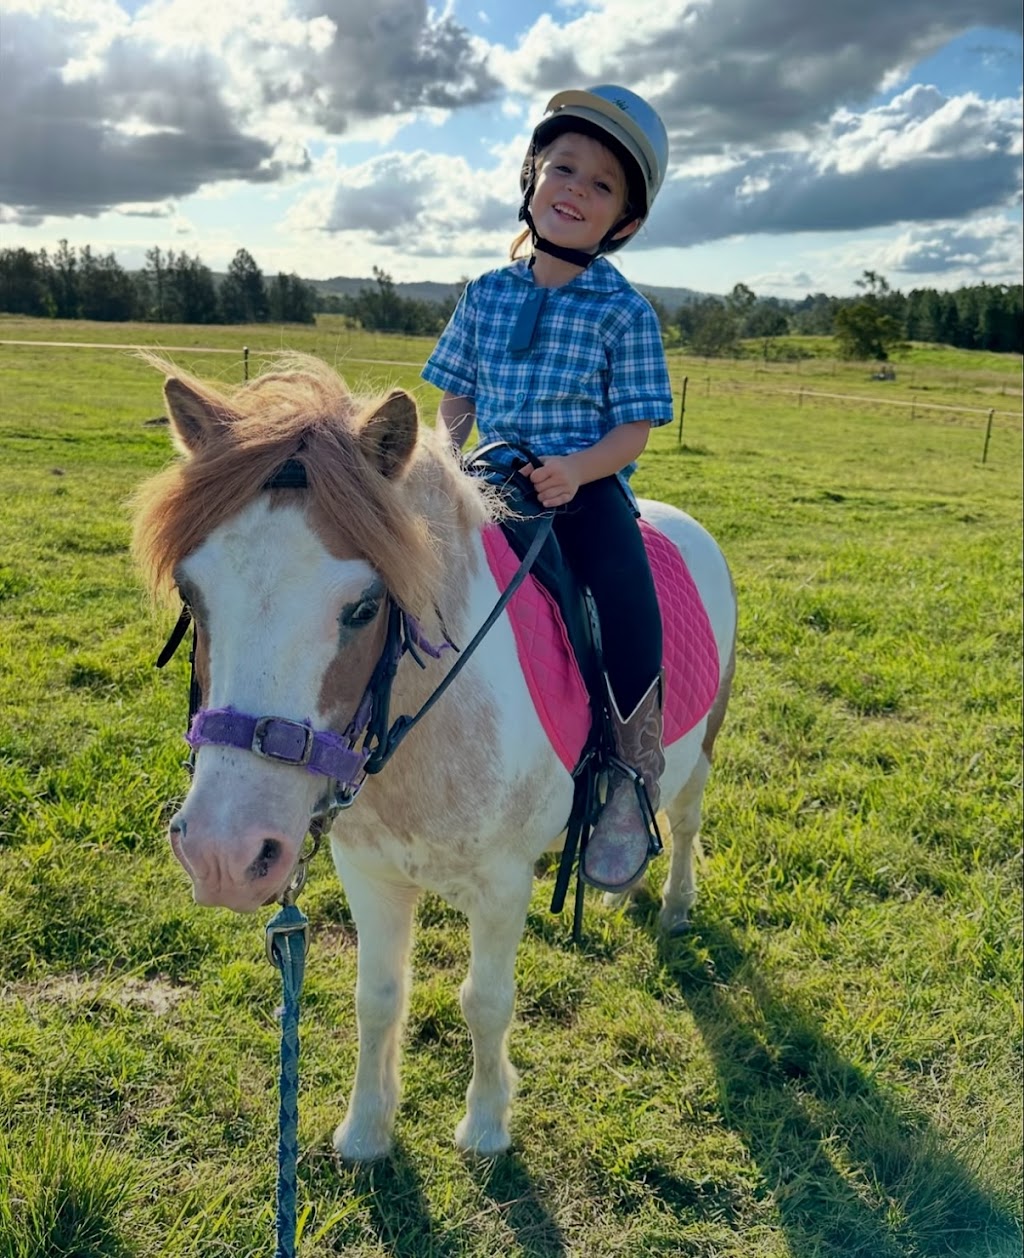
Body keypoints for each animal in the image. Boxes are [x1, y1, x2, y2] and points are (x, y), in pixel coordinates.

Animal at [132, 353, 737, 1161]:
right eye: (192, 594)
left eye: (363, 608)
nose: (224, 856)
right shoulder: (370, 873)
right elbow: (378, 997)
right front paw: (365, 1130)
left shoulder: (505, 884)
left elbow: (486, 1002)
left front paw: (485, 1126)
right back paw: (618, 887)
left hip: (699, 752)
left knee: (686, 821)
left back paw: (671, 906)